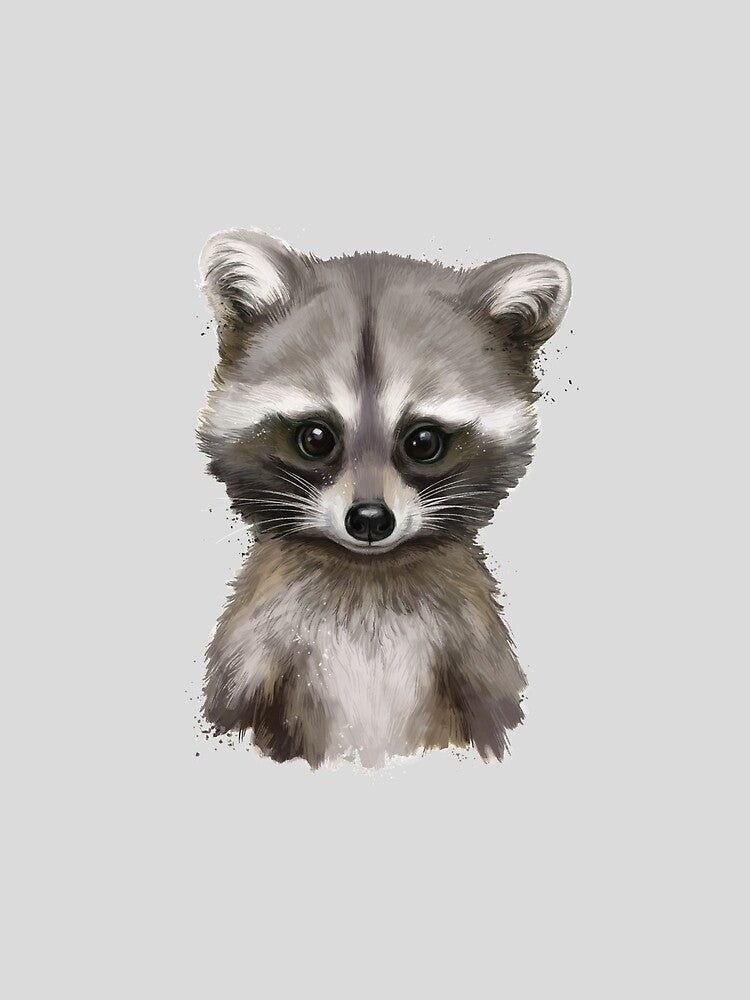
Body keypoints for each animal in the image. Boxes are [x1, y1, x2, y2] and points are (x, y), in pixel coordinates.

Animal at [197, 228, 571, 768]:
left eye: (423, 442)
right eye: (316, 438)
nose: (370, 519)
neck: (368, 575)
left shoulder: (474, 656)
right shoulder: (254, 651)